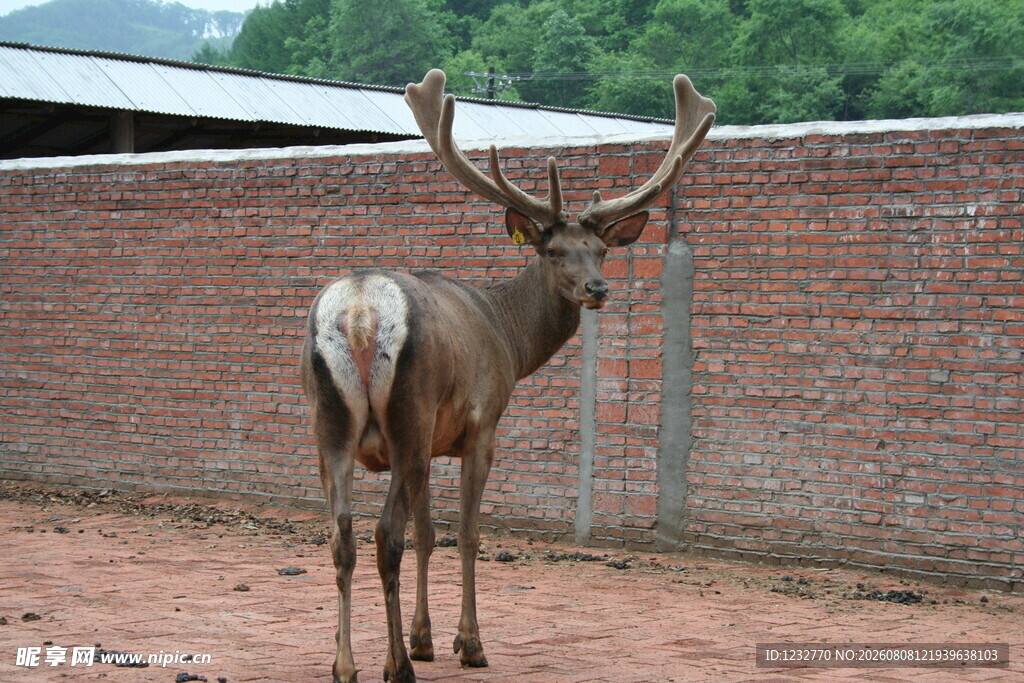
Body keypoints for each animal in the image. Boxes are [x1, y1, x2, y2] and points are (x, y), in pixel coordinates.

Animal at [299, 69, 715, 683]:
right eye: (553, 250)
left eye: (600, 249)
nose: (598, 289)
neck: (511, 342)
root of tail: (357, 313)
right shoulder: (481, 424)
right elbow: (468, 533)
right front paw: (467, 643)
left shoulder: (435, 441)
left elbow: (429, 533)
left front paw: (425, 638)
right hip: (406, 415)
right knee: (383, 535)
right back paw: (395, 666)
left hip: (330, 422)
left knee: (342, 535)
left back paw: (344, 663)